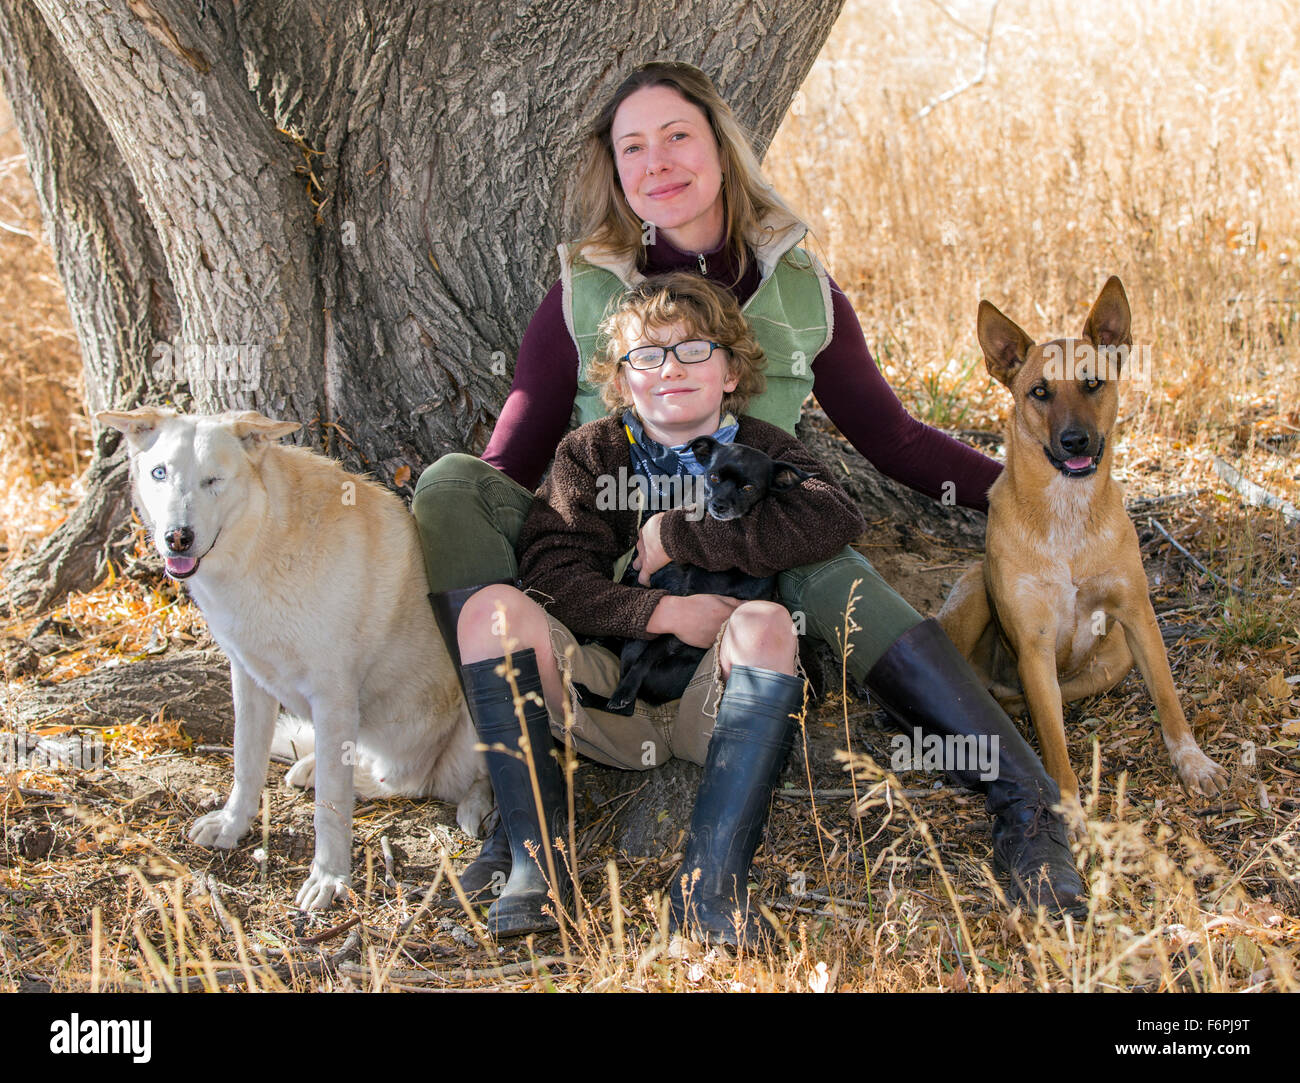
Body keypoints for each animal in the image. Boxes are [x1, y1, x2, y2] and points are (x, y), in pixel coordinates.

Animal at [97, 405, 491, 904]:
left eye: (213, 480)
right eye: (160, 473)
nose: (177, 538)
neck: (258, 548)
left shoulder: (333, 693)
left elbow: (330, 805)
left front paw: (330, 876)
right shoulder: (248, 679)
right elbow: (246, 764)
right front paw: (233, 824)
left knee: (420, 780)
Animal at [941, 274, 1222, 816]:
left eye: (1092, 383)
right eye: (1040, 392)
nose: (1075, 441)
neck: (1067, 512)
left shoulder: (1137, 616)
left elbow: (1169, 699)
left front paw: (1193, 762)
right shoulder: (1033, 643)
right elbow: (1054, 741)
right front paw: (1069, 807)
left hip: (1114, 659)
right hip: (972, 596)